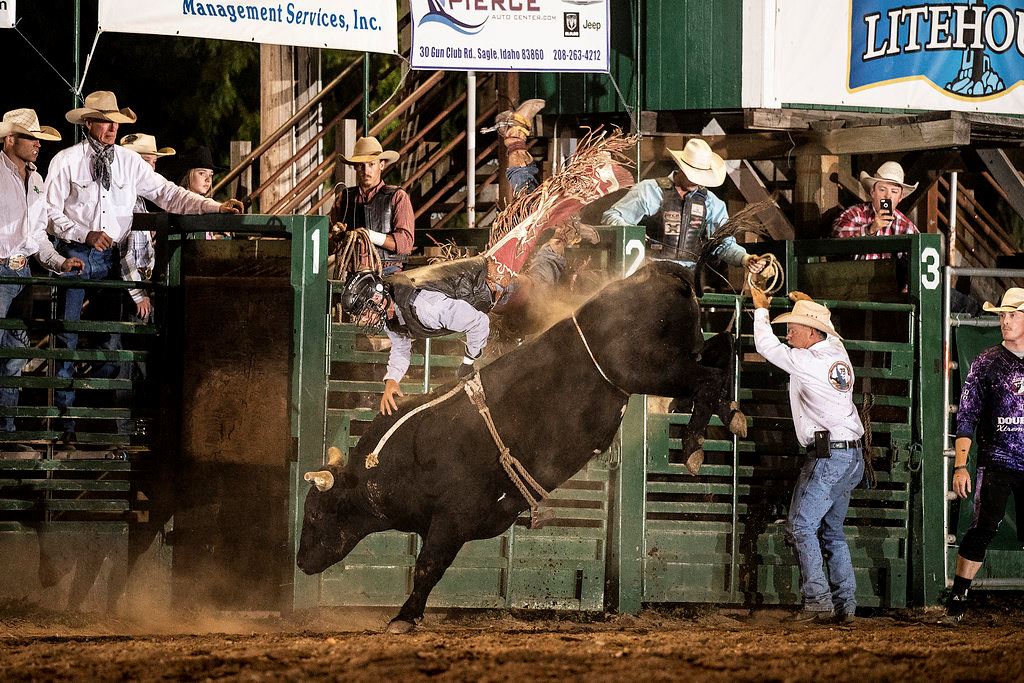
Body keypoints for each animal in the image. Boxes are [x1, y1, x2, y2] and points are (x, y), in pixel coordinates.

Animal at [296, 260, 745, 630]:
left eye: (316, 512)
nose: (301, 562)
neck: (400, 459)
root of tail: (659, 272)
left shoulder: (451, 519)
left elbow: (427, 568)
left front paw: (404, 618)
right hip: (681, 355)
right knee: (720, 358)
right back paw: (725, 419)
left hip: (650, 369)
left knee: (707, 377)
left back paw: (693, 444)